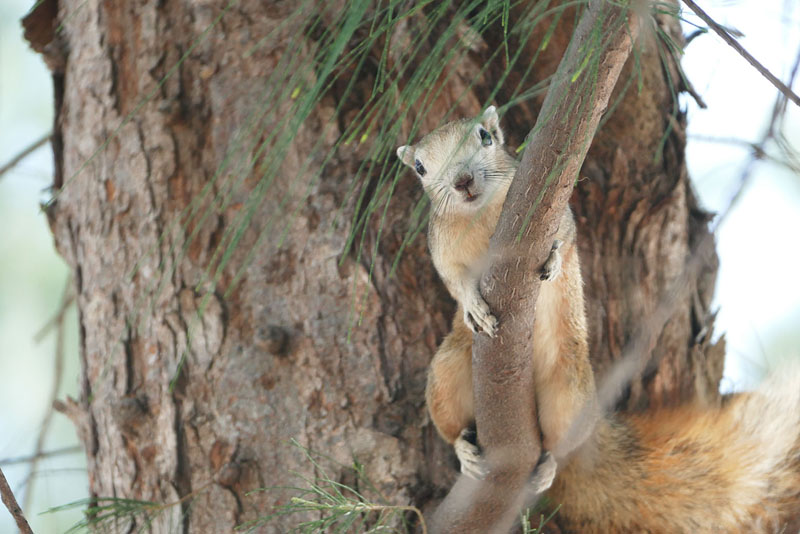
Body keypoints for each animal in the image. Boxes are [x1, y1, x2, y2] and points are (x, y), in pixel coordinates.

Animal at [397, 107, 800, 532]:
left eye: (485, 137)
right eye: (420, 167)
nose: (462, 181)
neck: (482, 216)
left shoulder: (556, 214)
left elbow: (567, 237)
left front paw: (554, 261)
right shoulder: (442, 248)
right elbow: (454, 280)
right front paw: (473, 305)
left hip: (570, 392)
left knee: (560, 446)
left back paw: (549, 465)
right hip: (447, 373)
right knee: (451, 423)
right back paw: (464, 448)